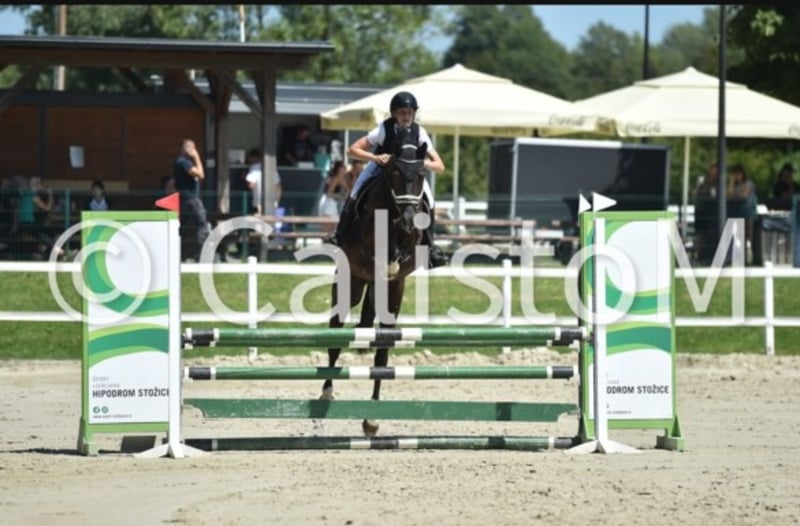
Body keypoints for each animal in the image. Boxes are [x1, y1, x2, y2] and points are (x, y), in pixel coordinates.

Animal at [321, 127, 431, 436]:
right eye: (394, 171)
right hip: (350, 282)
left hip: (392, 292)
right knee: (335, 336)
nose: (408, 219)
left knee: (379, 344)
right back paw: (326, 391)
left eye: (421, 173)